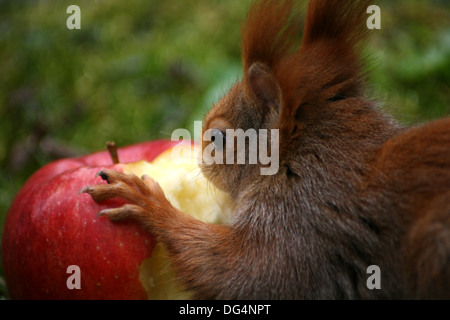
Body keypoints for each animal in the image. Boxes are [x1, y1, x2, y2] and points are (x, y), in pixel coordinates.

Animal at [81, 0, 450, 300]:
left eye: (217, 138)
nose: (200, 160)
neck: (306, 160)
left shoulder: (300, 223)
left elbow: (242, 274)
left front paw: (147, 202)